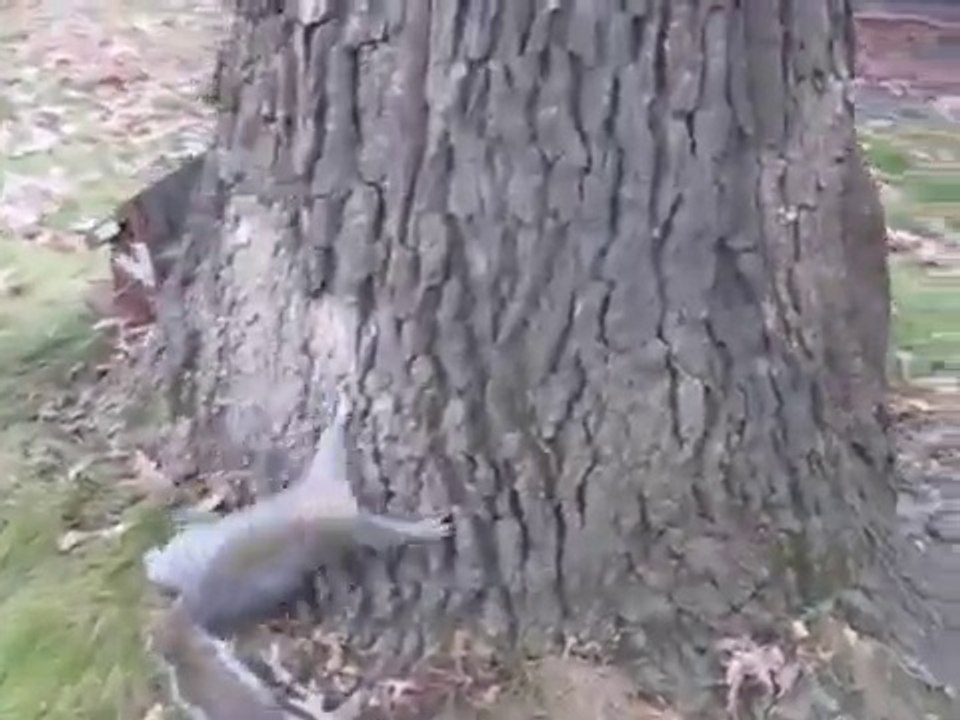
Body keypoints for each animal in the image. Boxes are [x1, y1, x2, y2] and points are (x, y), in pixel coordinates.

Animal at [143, 399, 453, 718]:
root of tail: (192, 606)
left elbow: (330, 447)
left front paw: (340, 413)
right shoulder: (342, 523)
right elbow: (381, 534)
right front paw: (425, 530)